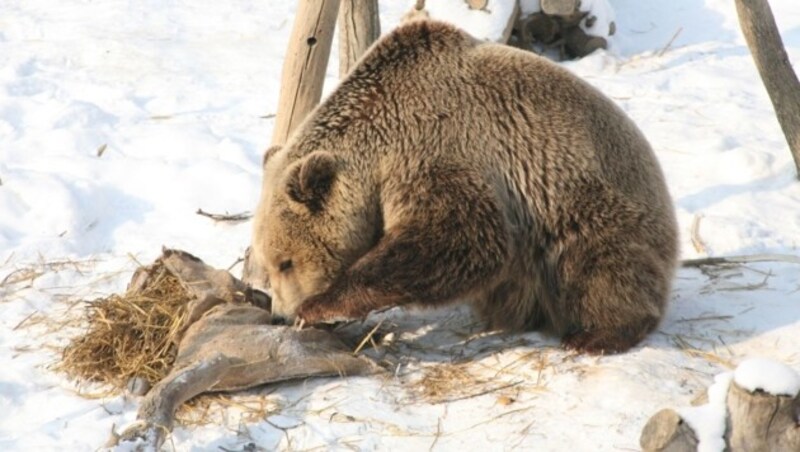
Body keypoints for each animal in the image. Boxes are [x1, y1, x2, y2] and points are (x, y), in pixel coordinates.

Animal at [247, 20, 680, 354]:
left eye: (285, 262)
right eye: (270, 264)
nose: (281, 315)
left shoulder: (438, 148)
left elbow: (461, 236)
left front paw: (322, 304)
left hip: (591, 203)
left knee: (596, 263)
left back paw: (596, 334)